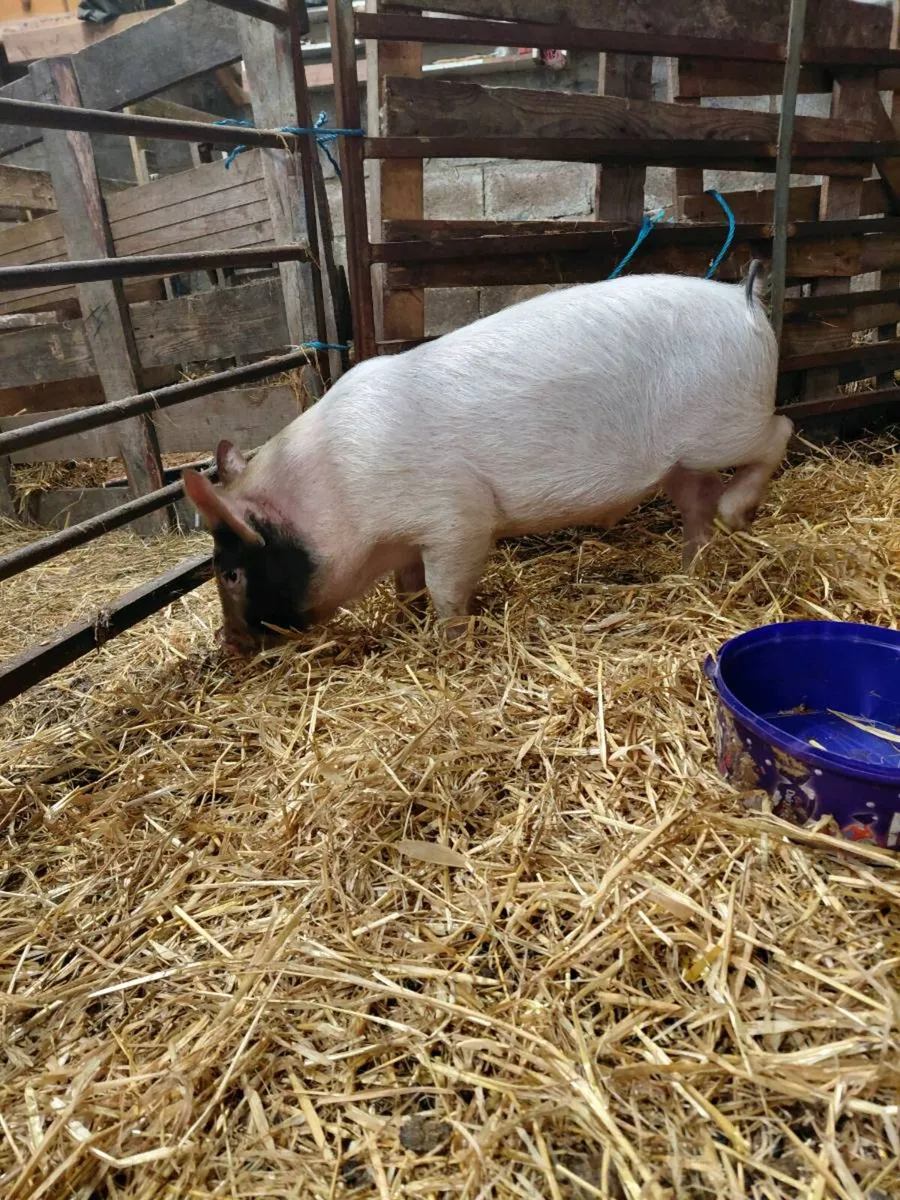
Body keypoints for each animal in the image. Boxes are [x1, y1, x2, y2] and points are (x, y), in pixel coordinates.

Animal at [183, 262, 791, 654]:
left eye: (231, 573)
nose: (228, 647)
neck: (336, 492)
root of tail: (743, 298)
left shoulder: (457, 520)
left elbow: (446, 590)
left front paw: (451, 644)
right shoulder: (408, 539)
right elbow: (408, 586)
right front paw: (407, 622)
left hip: (725, 428)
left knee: (778, 433)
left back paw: (737, 515)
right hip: (679, 460)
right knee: (698, 502)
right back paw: (689, 569)